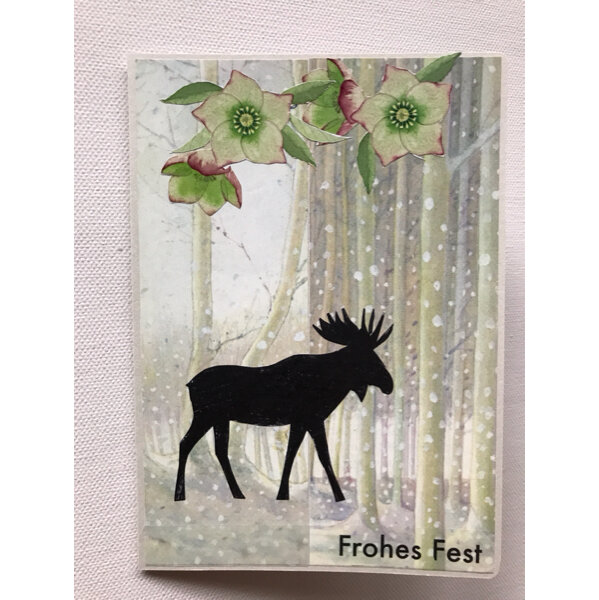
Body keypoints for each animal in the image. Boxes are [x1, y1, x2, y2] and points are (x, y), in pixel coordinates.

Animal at [174, 308, 393, 503]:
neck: (331, 384)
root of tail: (189, 384)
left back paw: (238, 493)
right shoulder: (310, 419)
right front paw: (336, 497)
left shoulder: (304, 421)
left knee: (219, 450)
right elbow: (318, 455)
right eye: (368, 357)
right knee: (185, 443)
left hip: (220, 419)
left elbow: (298, 453)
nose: (389, 384)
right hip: (205, 415)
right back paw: (180, 494)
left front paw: (285, 494)